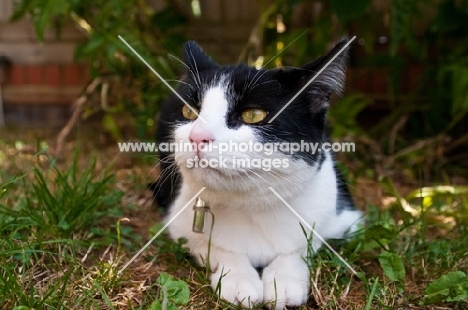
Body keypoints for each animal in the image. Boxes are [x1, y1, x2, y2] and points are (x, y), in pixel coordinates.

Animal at [154, 40, 362, 308]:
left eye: (253, 115)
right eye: (189, 112)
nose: (197, 136)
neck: (251, 206)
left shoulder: (343, 220)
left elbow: (304, 243)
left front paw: (284, 280)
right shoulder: (178, 222)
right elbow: (211, 244)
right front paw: (239, 279)